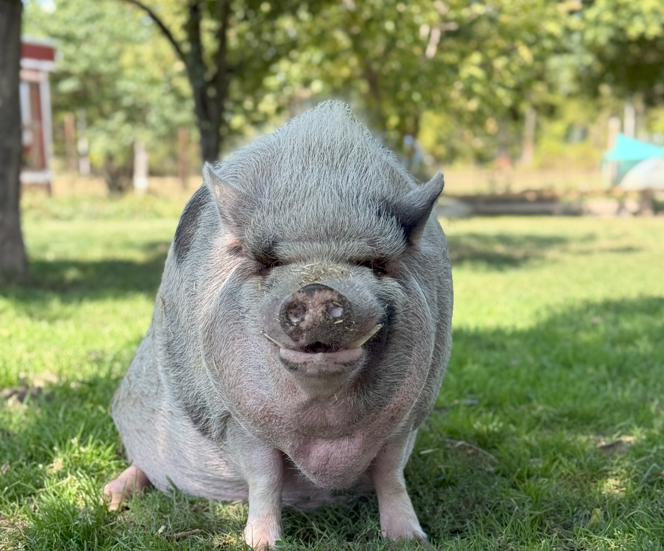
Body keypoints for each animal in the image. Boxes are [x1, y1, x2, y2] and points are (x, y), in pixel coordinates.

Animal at [104, 101, 453, 549]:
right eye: (268, 263)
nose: (317, 290)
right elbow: (265, 477)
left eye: (374, 264)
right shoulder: (233, 419)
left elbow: (391, 474)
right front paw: (262, 543)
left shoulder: (410, 413)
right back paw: (110, 497)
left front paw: (411, 539)